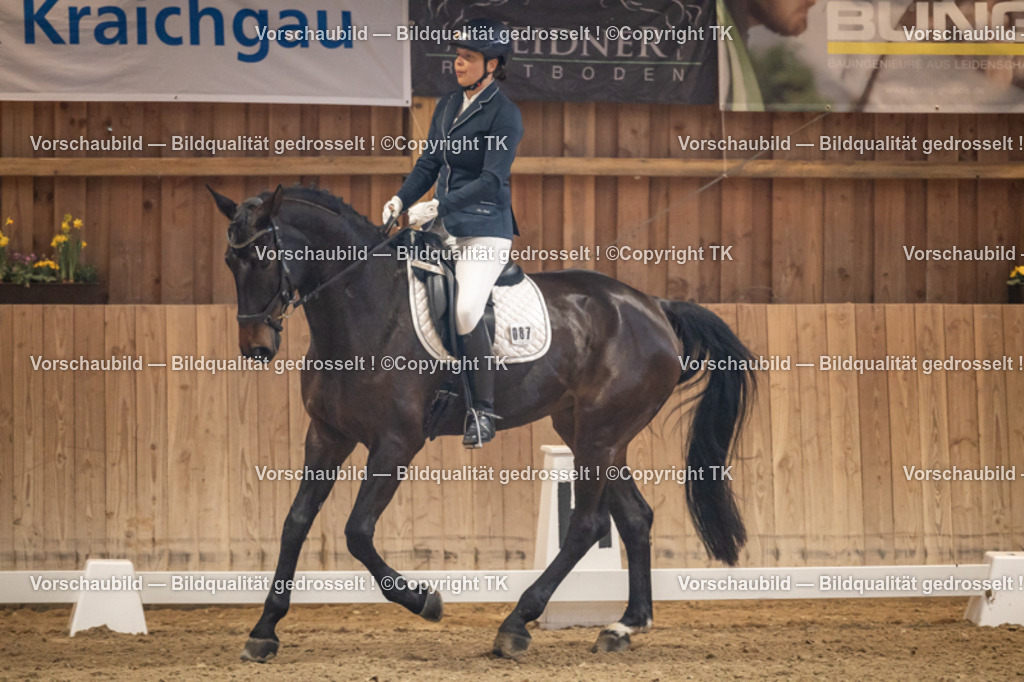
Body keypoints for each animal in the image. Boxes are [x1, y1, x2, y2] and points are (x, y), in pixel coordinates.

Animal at [210, 184, 756, 661]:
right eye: (230, 262)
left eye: (264, 257)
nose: (256, 347)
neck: (364, 309)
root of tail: (654, 307)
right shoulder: (328, 435)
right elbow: (296, 523)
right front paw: (264, 631)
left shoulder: (396, 443)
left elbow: (357, 532)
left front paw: (425, 601)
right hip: (591, 434)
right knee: (635, 517)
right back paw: (623, 627)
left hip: (599, 436)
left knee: (587, 524)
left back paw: (516, 624)